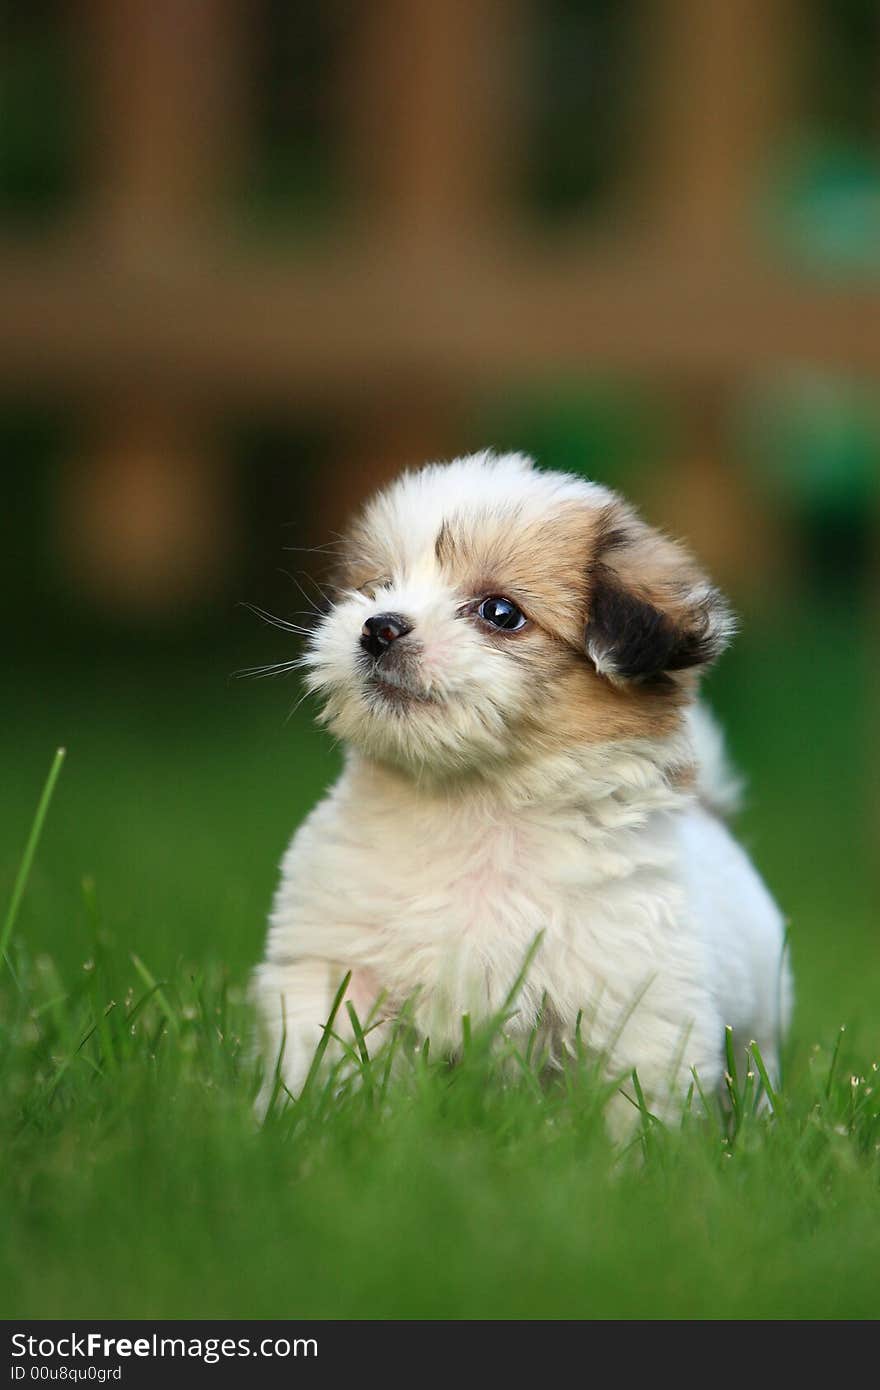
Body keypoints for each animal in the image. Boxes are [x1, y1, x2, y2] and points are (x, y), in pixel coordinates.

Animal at [251, 450, 789, 1134]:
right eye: (377, 587)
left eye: (500, 613)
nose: (379, 627)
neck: (478, 805)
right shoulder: (338, 962)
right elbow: (326, 1046)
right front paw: (312, 1123)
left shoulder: (637, 1007)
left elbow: (634, 1102)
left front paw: (635, 1158)